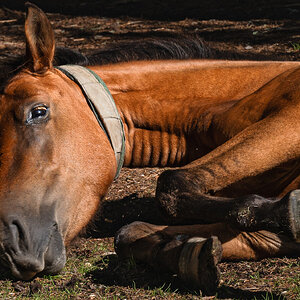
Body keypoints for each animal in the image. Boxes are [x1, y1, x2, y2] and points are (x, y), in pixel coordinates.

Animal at [0, 2, 300, 292]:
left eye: (38, 111)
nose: (8, 245)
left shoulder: (289, 119)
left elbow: (172, 183)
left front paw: (286, 213)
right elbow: (129, 233)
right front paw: (190, 253)